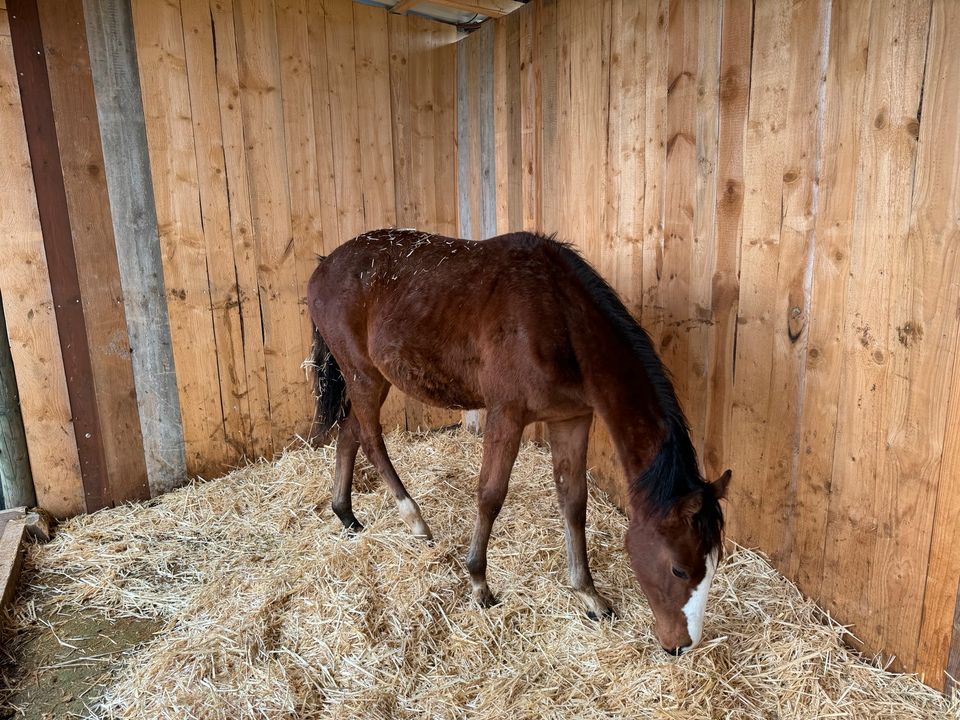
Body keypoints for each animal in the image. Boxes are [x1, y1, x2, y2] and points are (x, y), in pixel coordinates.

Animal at [306, 229, 728, 652]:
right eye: (679, 569)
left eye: (714, 564)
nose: (682, 644)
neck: (559, 319)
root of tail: (324, 265)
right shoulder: (505, 415)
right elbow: (491, 496)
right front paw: (479, 585)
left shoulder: (572, 419)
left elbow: (573, 501)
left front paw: (589, 595)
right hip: (364, 375)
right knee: (370, 439)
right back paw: (415, 521)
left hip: (372, 379)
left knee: (349, 433)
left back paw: (346, 514)